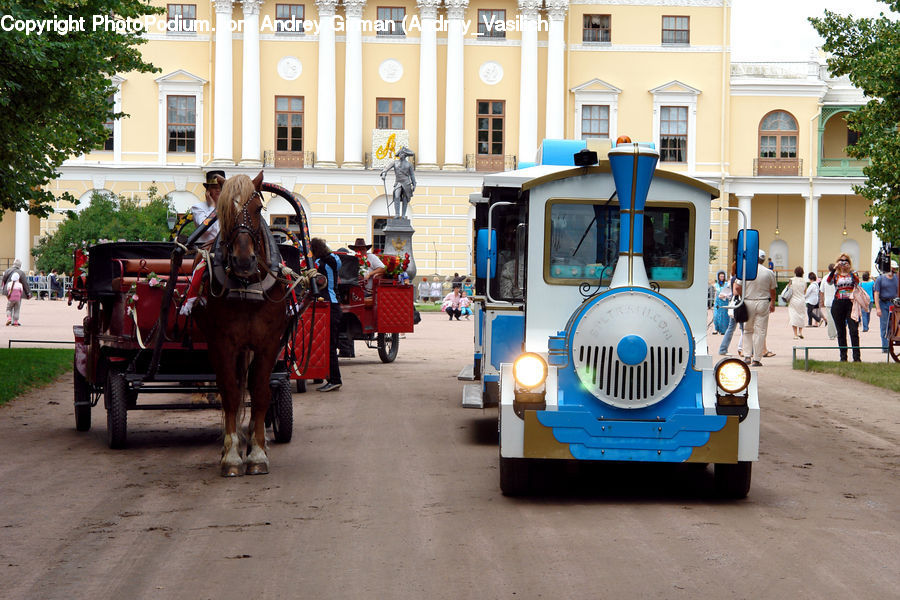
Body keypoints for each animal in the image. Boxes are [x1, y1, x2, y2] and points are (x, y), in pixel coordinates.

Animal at [195, 171, 298, 476]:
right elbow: (230, 392)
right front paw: (231, 455)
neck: (247, 287)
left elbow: (261, 391)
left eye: (257, 209)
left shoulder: (268, 344)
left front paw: (257, 453)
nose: (243, 260)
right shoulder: (223, 344)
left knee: (254, 385)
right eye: (223, 212)